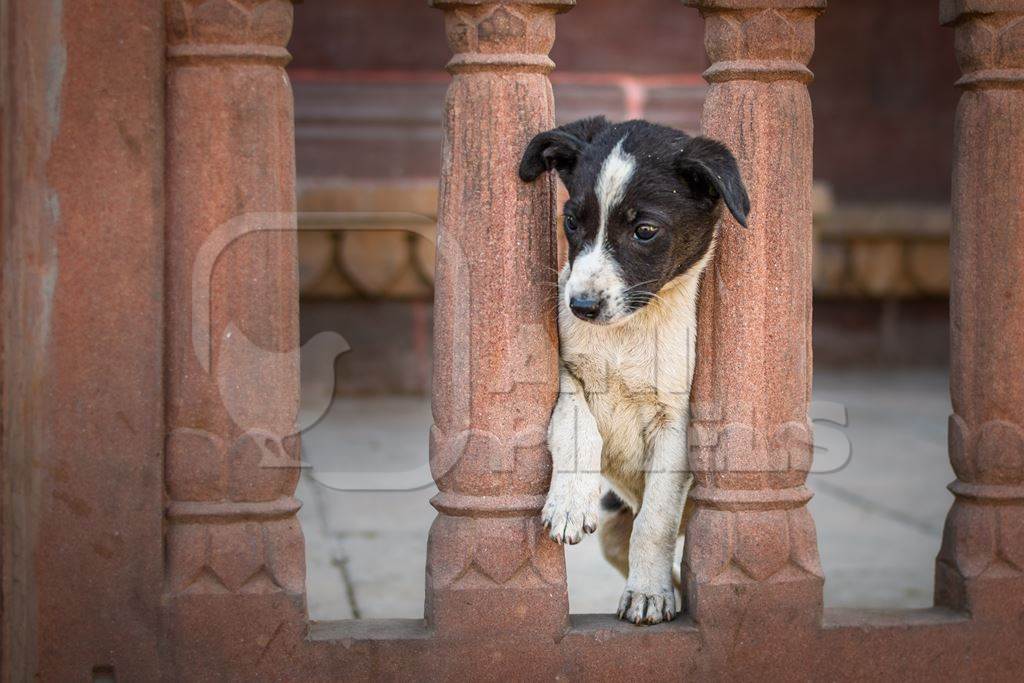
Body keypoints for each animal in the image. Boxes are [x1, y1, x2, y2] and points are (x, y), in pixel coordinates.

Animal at [516, 116, 749, 626]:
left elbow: (655, 521)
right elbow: (578, 428)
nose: (580, 306)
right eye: (571, 222)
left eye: (644, 230)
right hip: (611, 524)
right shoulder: (568, 376)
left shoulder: (675, 426)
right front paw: (569, 501)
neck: (628, 333)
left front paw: (647, 594)